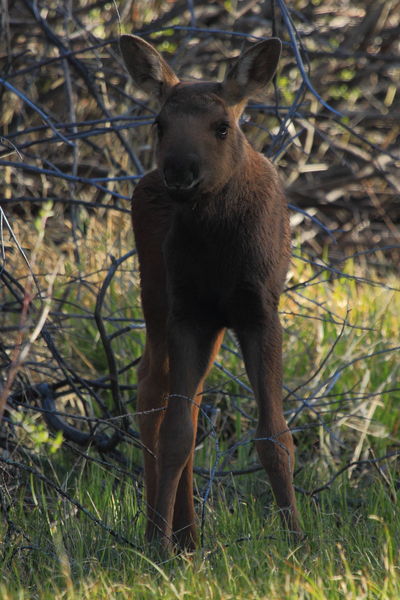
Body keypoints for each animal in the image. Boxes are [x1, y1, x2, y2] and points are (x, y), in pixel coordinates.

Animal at [120, 31, 302, 548]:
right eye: (159, 123)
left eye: (222, 126)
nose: (180, 172)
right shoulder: (188, 311)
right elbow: (177, 433)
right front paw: (158, 546)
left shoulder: (260, 311)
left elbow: (274, 434)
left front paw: (299, 542)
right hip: (155, 295)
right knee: (152, 391)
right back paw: (162, 532)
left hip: (208, 322)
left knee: (190, 399)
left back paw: (188, 535)